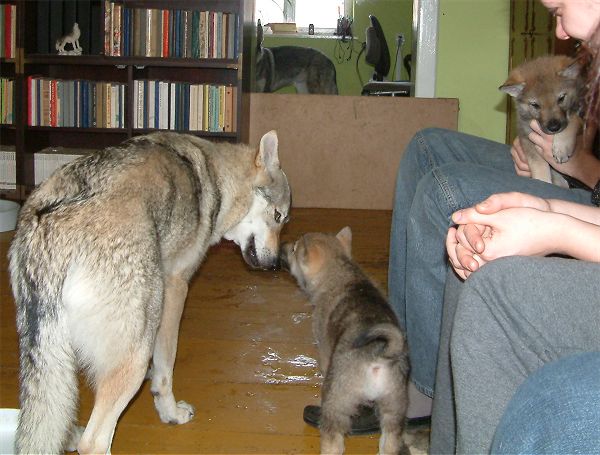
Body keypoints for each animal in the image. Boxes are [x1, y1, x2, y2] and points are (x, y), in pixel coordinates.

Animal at [9, 131, 291, 454]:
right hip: (136, 347)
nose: (275, 265)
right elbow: (166, 367)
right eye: (278, 216)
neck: (217, 179)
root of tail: (51, 223)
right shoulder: (176, 290)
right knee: (92, 441)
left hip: (51, 358)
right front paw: (171, 413)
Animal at [281, 227, 410, 455]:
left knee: (334, 441)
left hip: (337, 401)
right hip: (394, 407)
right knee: (390, 441)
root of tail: (378, 356)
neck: (340, 271)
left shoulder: (325, 350)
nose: (283, 245)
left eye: (295, 249)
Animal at [500, 55, 585, 187]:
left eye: (561, 98)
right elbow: (539, 165)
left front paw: (561, 148)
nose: (554, 128)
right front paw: (543, 180)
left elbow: (572, 123)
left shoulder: (580, 120)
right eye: (535, 105)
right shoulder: (527, 139)